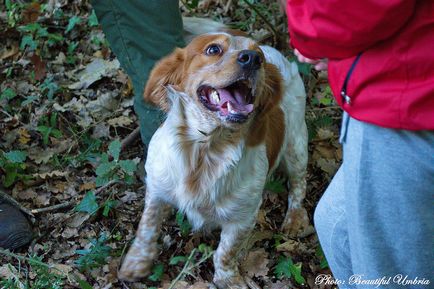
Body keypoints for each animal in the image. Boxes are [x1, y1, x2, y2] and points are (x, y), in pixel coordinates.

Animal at [118, 30, 308, 286]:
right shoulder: (157, 187)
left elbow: (225, 252)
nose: (253, 59)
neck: (205, 151)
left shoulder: (243, 216)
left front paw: (229, 280)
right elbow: (147, 225)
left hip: (296, 147)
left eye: (256, 55)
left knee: (299, 184)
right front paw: (136, 261)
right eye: (213, 49)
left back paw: (294, 218)